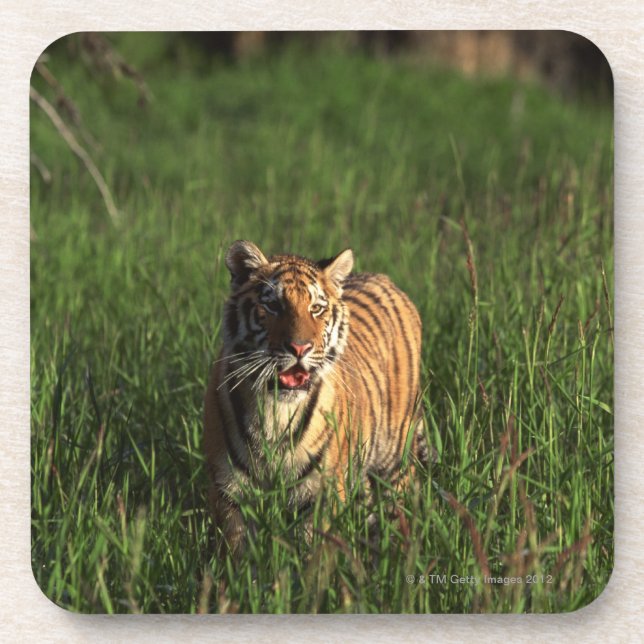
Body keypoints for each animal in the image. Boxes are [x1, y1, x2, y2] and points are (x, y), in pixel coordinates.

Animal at [203, 240, 425, 550]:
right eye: (273, 305)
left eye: (316, 308)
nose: (300, 348)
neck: (275, 410)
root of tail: (385, 279)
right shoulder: (230, 491)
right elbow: (239, 552)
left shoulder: (321, 493)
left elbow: (313, 551)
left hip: (395, 461)